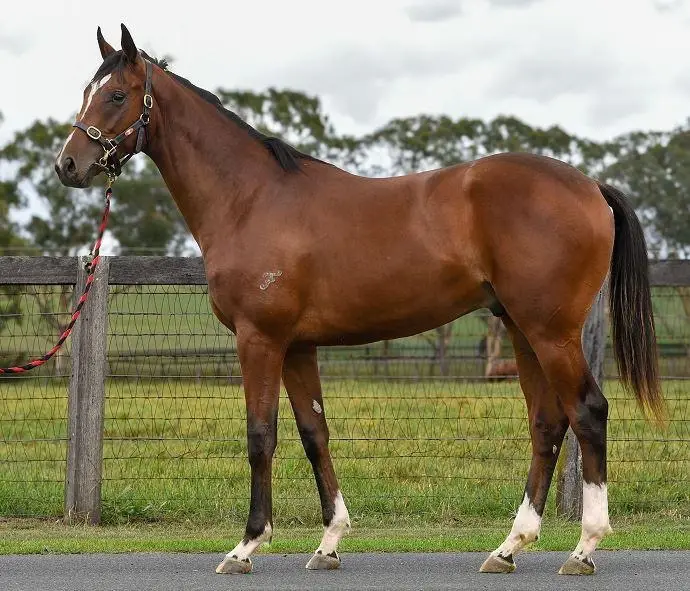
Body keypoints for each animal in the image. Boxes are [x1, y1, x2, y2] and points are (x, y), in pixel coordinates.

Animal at [55, 24, 663, 576]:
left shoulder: (260, 340)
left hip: (551, 331)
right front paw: (329, 542)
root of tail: (590, 186)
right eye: (86, 90)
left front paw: (246, 546)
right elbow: (314, 434)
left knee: (588, 413)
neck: (250, 198)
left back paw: (584, 548)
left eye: (116, 95)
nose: (68, 166)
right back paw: (508, 547)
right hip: (519, 328)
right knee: (546, 423)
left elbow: (260, 436)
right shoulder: (298, 347)